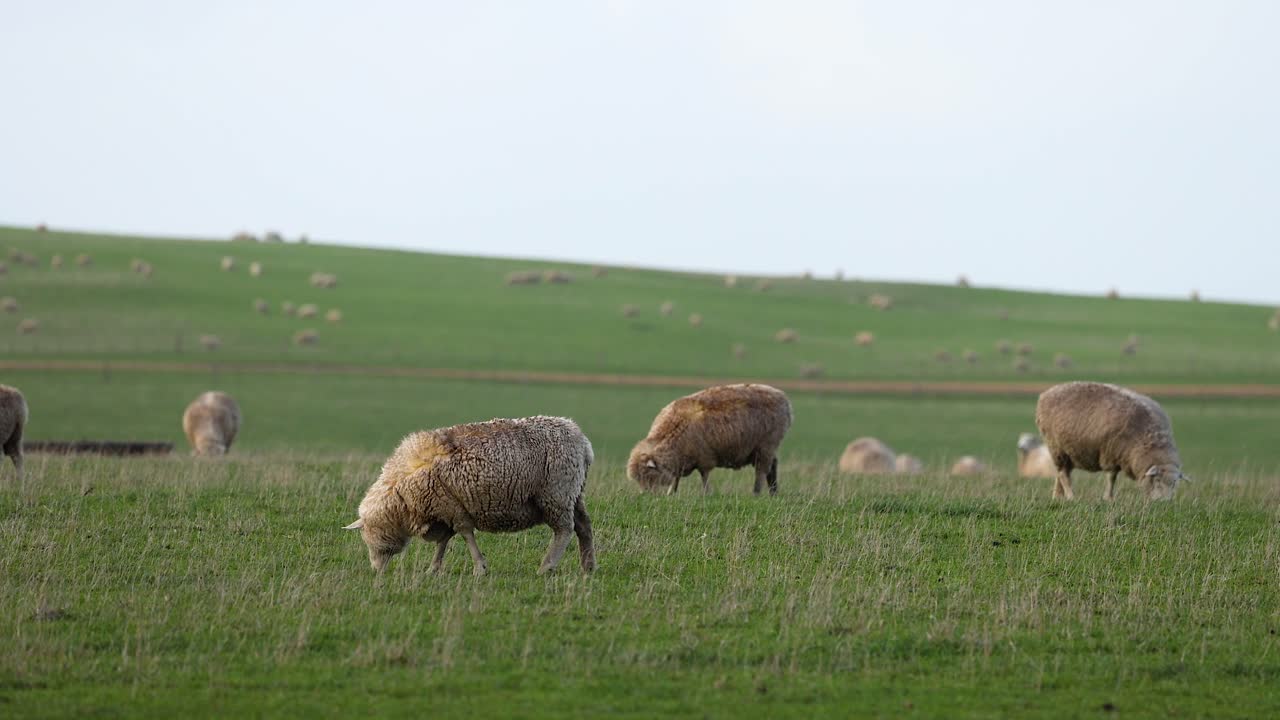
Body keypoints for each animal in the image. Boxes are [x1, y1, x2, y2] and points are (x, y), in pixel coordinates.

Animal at [343, 416, 595, 575]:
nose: (376, 570)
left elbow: (465, 534)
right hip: (574, 494)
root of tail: (583, 442)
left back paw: (546, 567)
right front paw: (433, 568)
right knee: (584, 526)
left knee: (564, 530)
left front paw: (479, 567)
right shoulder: (444, 509)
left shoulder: (450, 506)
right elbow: (444, 540)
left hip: (556, 494)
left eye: (368, 536)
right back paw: (588, 566)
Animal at [628, 383, 792, 496]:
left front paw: (706, 494)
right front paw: (671, 493)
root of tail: (782, 398)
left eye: (648, 476)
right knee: (773, 466)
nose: (646, 495)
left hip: (766, 445)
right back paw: (773, 492)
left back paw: (756, 493)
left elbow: (704, 477)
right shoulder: (681, 461)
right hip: (766, 448)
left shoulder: (704, 457)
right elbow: (676, 479)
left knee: (761, 471)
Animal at [1036, 381, 1187, 501]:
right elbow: (1111, 478)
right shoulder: (1111, 453)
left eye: (1174, 483)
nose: (1164, 503)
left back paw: (1057, 497)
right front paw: (1108, 498)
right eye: (1157, 480)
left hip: (1068, 452)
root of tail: (1046, 394)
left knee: (1062, 473)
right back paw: (1071, 496)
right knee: (1063, 475)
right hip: (1056, 447)